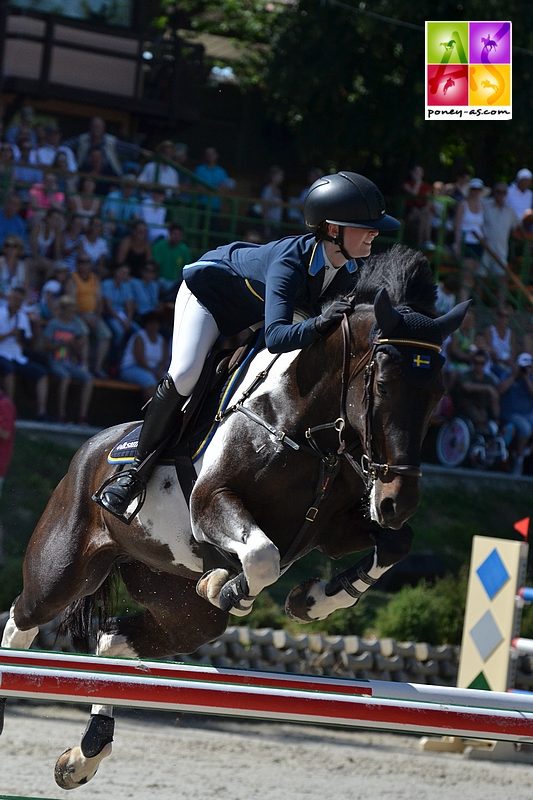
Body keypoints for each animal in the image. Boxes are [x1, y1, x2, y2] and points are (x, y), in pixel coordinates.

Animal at [0, 244, 466, 788]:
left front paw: (313, 601)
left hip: (180, 606)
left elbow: (394, 544)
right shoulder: (212, 505)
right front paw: (232, 587)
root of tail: (91, 448)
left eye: (438, 394)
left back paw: (85, 755)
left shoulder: (334, 529)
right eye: (385, 386)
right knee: (23, 619)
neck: (307, 422)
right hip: (63, 569)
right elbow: (262, 555)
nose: (397, 501)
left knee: (115, 638)